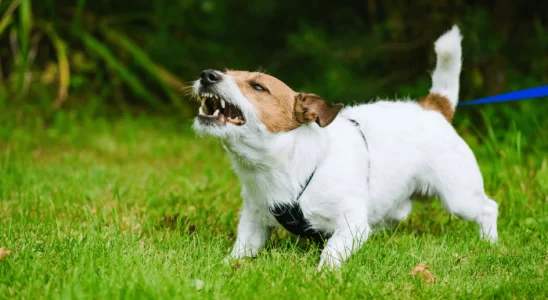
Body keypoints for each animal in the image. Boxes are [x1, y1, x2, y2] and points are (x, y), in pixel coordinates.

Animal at [193, 25, 500, 270]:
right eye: (226, 72)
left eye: (258, 87)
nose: (207, 75)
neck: (283, 167)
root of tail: (433, 107)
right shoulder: (253, 221)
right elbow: (242, 248)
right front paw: (226, 266)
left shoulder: (351, 225)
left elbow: (332, 251)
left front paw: (322, 275)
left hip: (459, 196)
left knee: (488, 208)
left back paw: (490, 243)